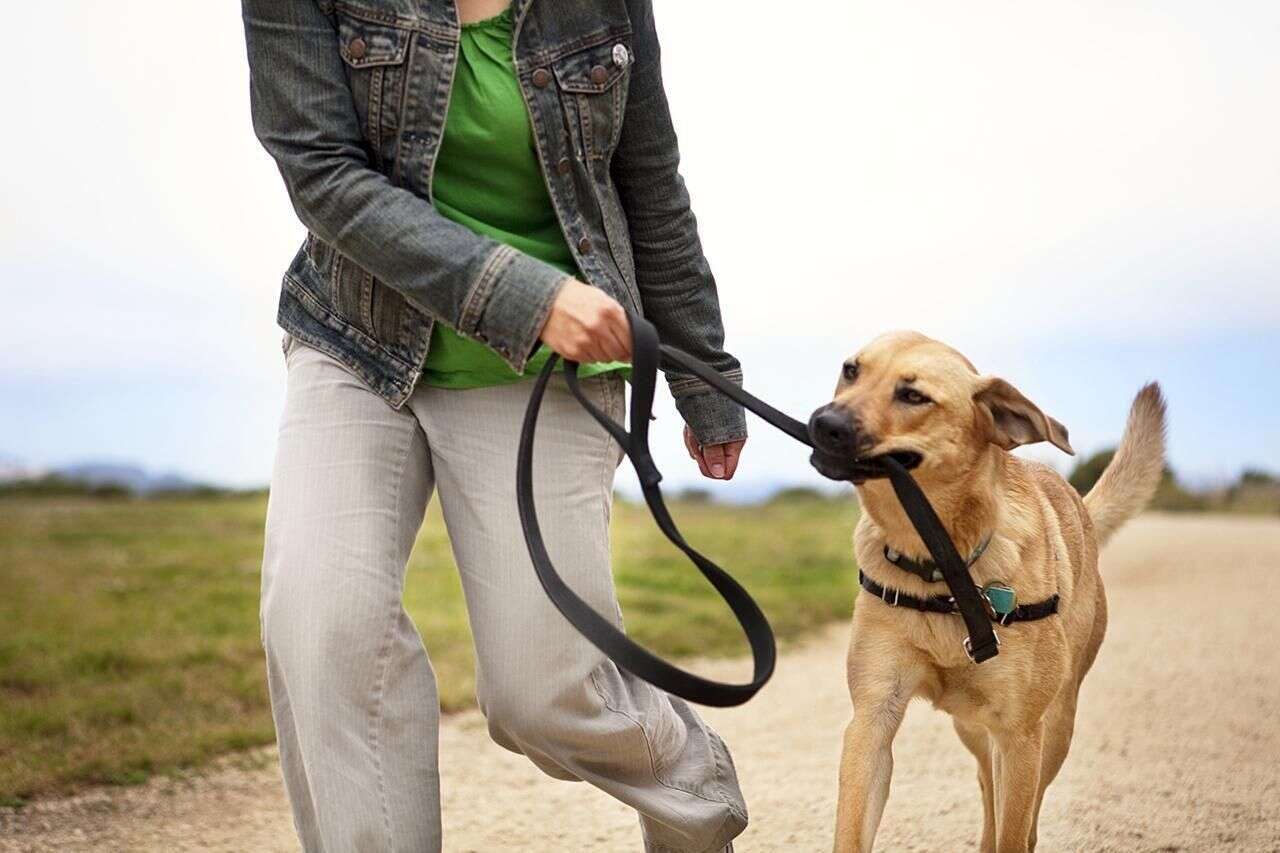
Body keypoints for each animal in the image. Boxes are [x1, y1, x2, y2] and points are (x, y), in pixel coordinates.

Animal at [808, 333, 1172, 850]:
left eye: (913, 396)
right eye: (851, 371)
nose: (823, 423)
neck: (942, 562)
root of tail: (1078, 504)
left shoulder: (1020, 735)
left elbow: (1015, 830)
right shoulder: (872, 721)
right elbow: (853, 830)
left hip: (1053, 727)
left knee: (1026, 817)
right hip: (971, 727)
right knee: (987, 790)